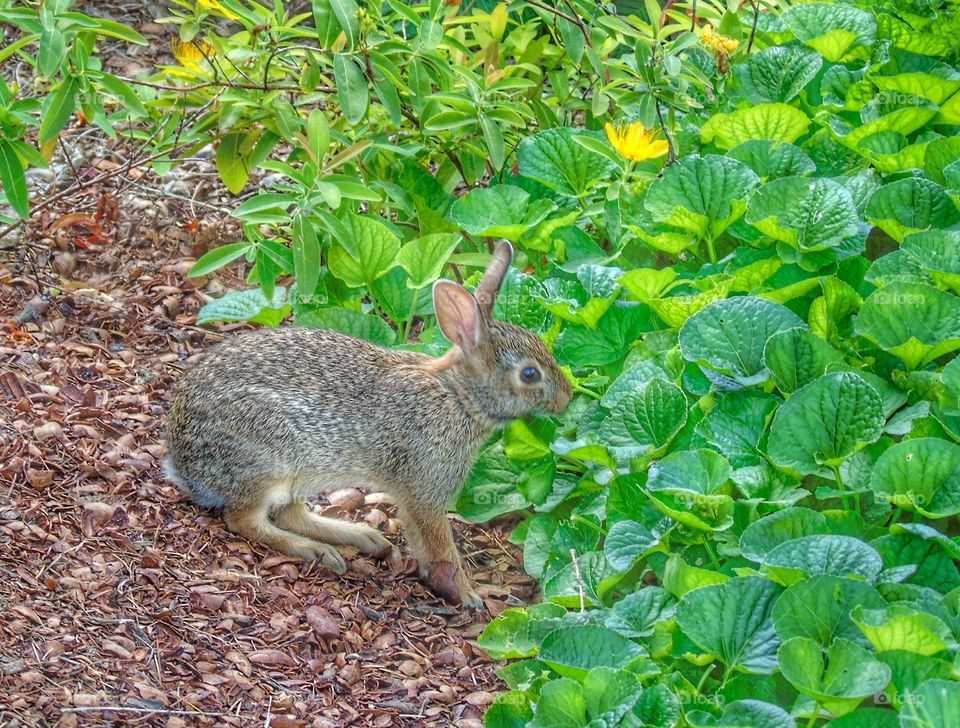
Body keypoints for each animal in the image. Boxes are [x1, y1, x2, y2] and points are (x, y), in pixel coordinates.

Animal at [164, 241, 572, 609]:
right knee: (244, 521)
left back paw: (362, 537)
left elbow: (421, 541)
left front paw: (436, 578)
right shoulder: (426, 489)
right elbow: (443, 546)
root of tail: (181, 460)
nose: (566, 398)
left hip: (299, 475)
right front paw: (469, 594)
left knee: (289, 513)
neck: (458, 397)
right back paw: (317, 550)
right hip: (266, 462)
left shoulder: (410, 494)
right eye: (530, 374)